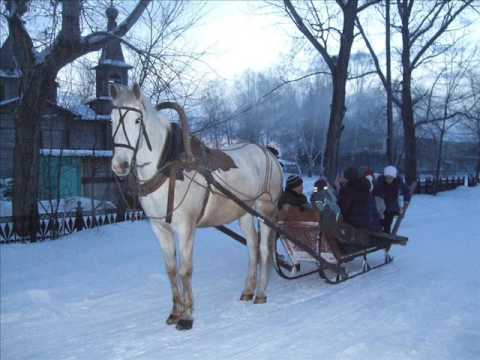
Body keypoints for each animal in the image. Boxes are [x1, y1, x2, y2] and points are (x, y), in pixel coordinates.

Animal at [109, 83, 282, 330]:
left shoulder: (185, 228)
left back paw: (260, 293)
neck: (168, 168)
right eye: (112, 119)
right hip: (245, 213)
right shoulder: (159, 228)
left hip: (265, 209)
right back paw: (248, 291)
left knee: (265, 250)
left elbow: (185, 270)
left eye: (137, 120)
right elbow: (171, 270)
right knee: (253, 248)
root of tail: (269, 153)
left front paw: (187, 316)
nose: (120, 165)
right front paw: (175, 312)